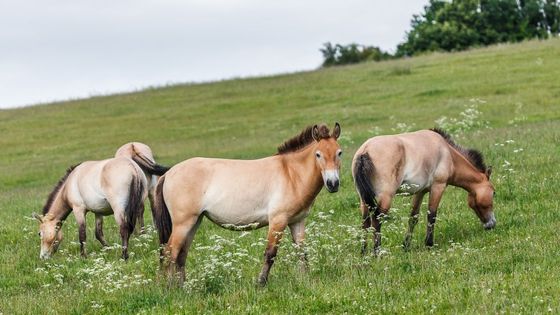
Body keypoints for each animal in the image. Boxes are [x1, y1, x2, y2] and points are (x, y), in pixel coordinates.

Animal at [153, 123, 344, 286]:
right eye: (318, 154)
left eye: (339, 152)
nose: (333, 184)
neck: (291, 174)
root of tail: (169, 173)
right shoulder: (278, 221)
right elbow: (270, 254)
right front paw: (261, 283)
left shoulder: (297, 222)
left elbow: (302, 252)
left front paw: (305, 279)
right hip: (183, 223)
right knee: (170, 252)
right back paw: (170, 288)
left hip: (194, 222)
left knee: (181, 254)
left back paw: (183, 287)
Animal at [352, 128, 496, 254]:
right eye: (494, 193)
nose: (491, 224)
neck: (448, 153)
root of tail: (365, 150)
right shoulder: (438, 187)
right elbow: (432, 216)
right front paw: (429, 244)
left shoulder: (420, 192)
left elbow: (413, 218)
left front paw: (406, 246)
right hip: (386, 198)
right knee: (376, 220)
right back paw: (377, 253)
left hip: (363, 200)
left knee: (365, 222)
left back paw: (363, 252)